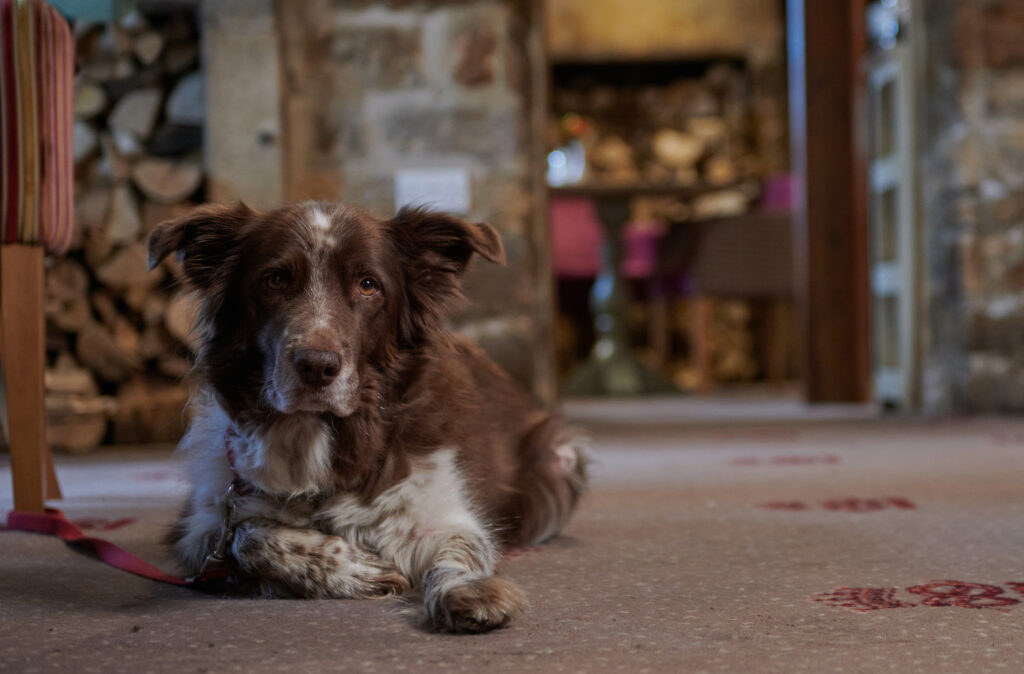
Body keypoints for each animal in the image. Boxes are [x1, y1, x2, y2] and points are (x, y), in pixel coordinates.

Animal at [148, 199, 589, 630]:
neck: (320, 436)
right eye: (275, 280)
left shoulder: (441, 514)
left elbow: (461, 549)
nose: (317, 366)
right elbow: (246, 536)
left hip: (560, 463)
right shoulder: (203, 525)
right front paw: (355, 570)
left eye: (367, 285)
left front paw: (468, 592)